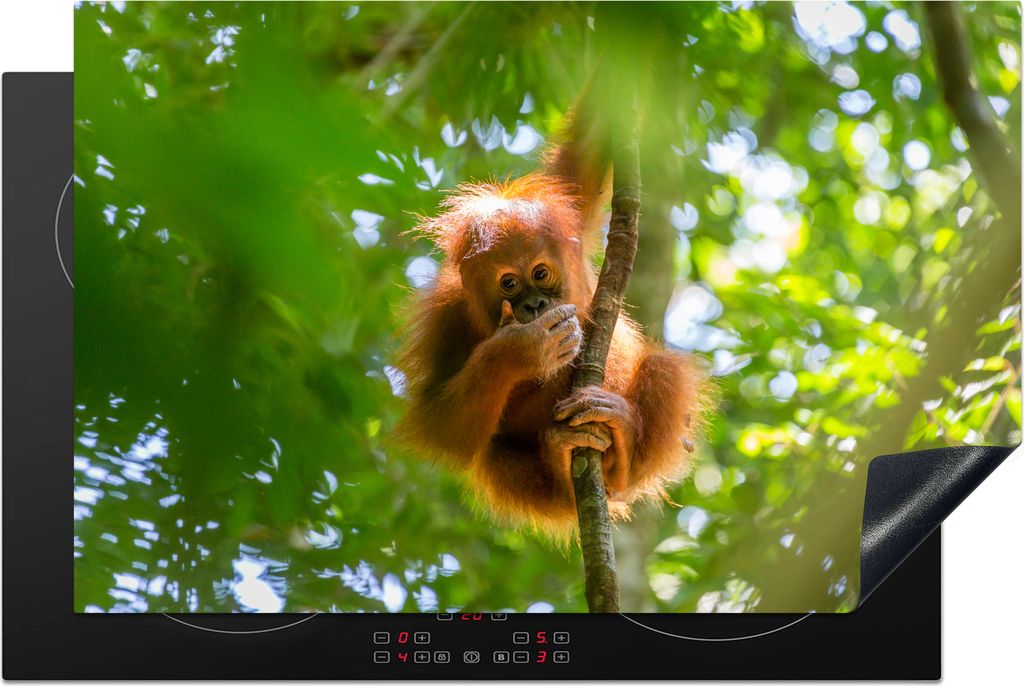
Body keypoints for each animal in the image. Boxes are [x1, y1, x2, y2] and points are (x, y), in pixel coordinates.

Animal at [396, 104, 709, 537]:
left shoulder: (570, 214)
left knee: (664, 368)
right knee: (492, 453)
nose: (534, 306)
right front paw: (521, 349)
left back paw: (624, 444)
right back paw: (562, 468)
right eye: (509, 283)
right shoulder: (445, 317)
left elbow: (591, 143)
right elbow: (439, 425)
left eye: (540, 273)